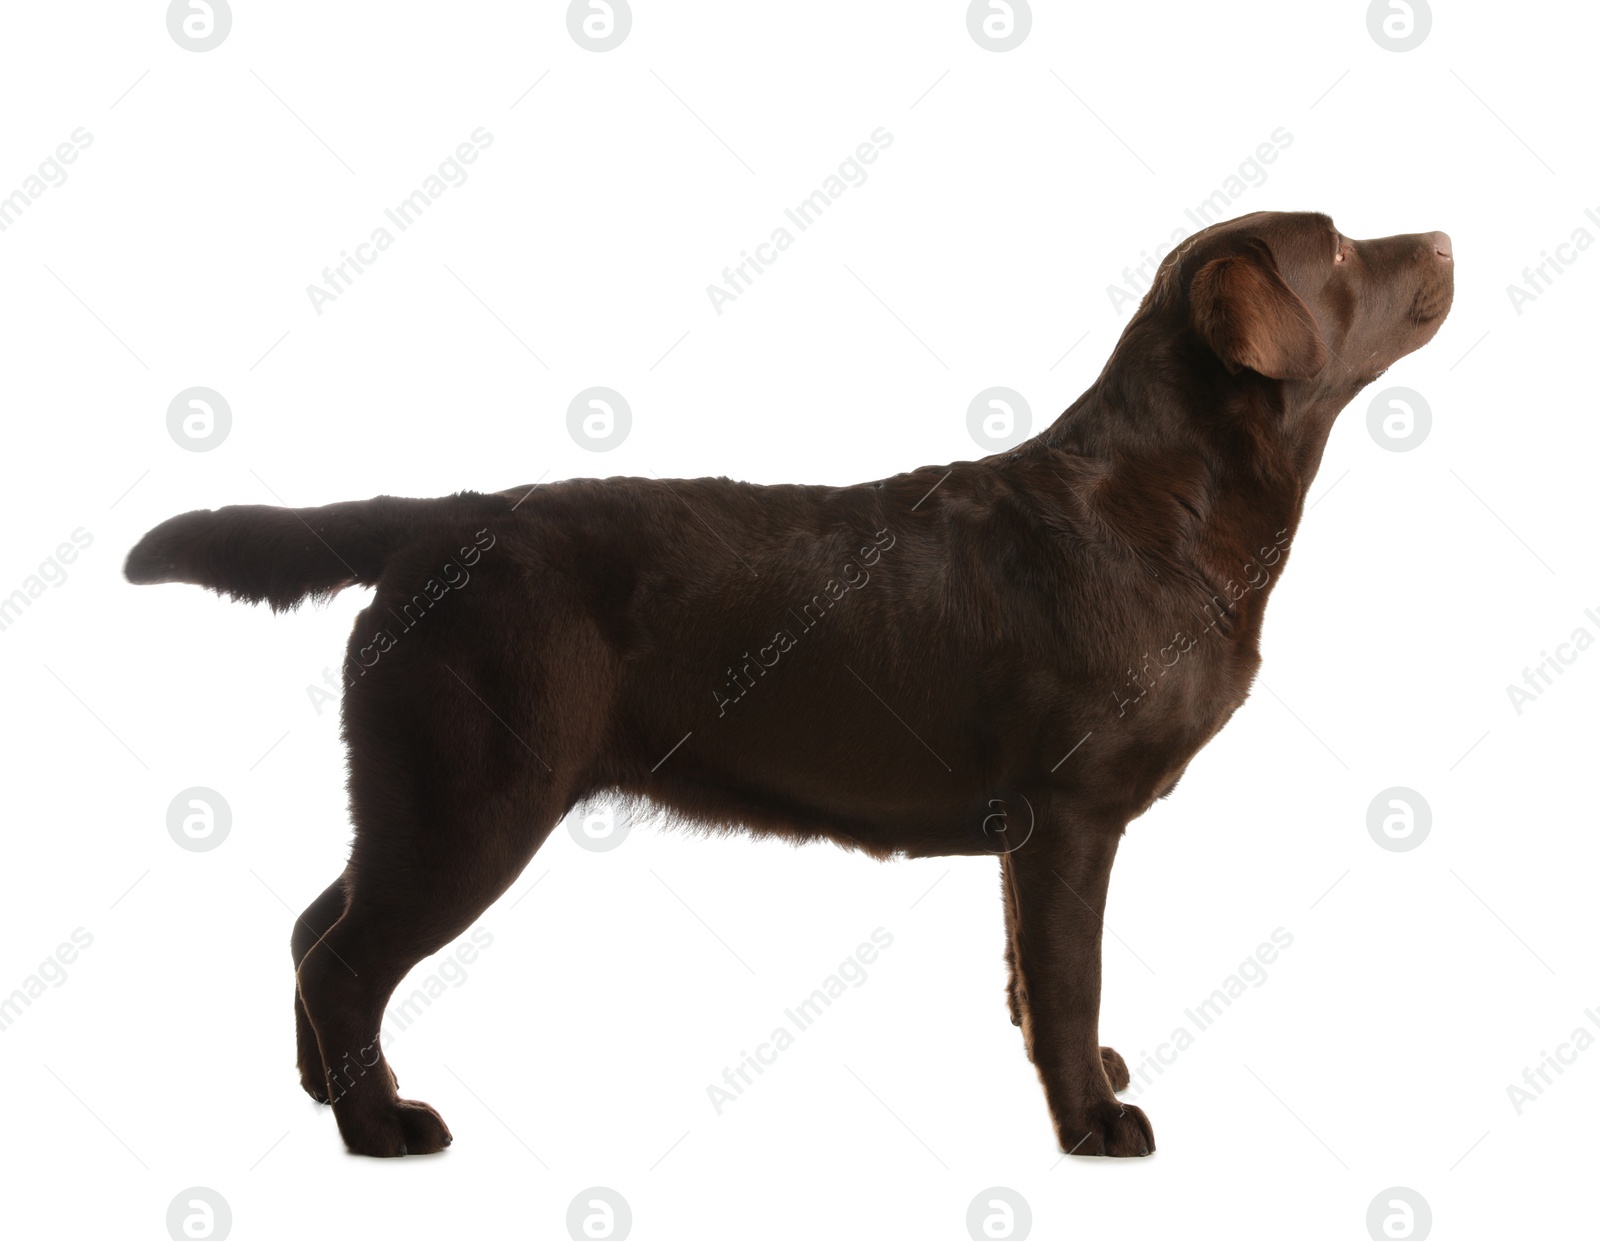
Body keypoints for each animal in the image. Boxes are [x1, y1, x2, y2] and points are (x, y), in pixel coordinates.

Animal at [124, 211, 1452, 1151]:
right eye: (1339, 245)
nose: (1442, 237)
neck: (1170, 501)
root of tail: (432, 520)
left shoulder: (1028, 831)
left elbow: (1028, 973)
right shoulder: (1072, 813)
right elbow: (1070, 976)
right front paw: (1091, 1120)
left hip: (420, 789)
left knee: (315, 923)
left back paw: (327, 1091)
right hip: (476, 792)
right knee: (347, 952)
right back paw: (378, 1124)